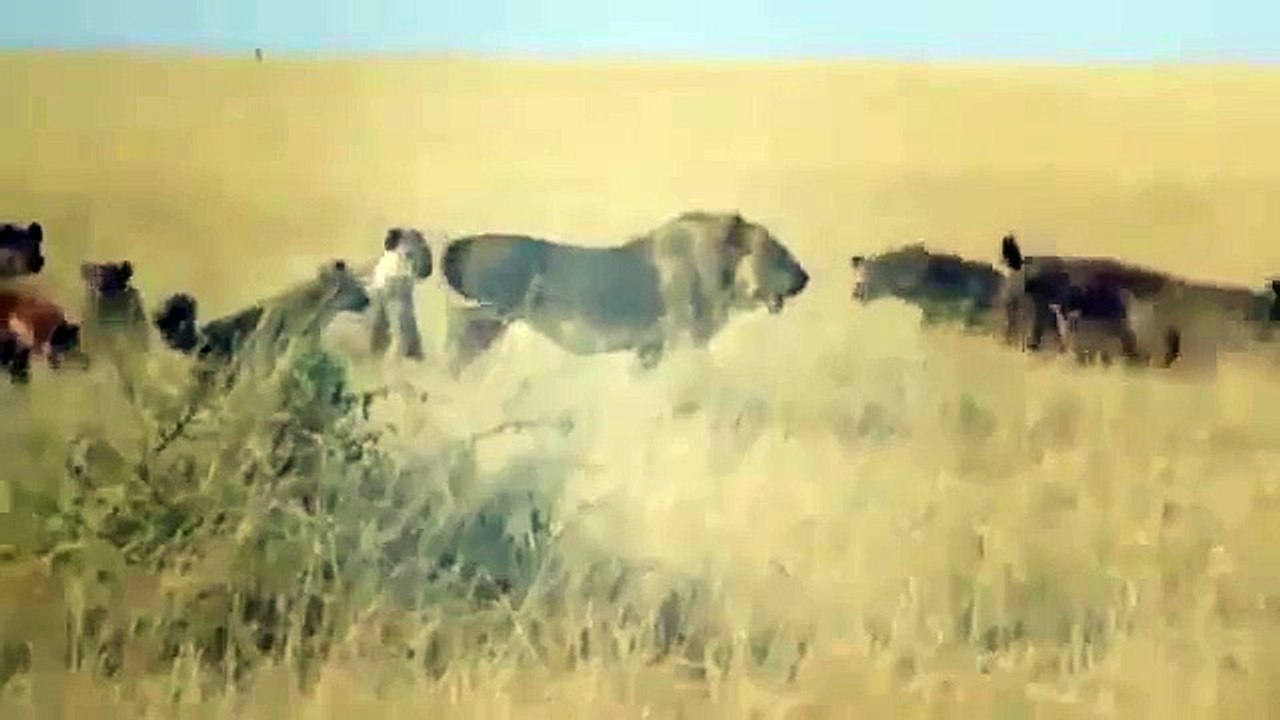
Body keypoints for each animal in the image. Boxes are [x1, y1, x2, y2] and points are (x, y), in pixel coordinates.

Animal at [439, 211, 810, 373]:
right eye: (777, 252)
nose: (804, 278)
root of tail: (459, 244)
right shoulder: (683, 339)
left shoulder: (652, 347)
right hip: (496, 313)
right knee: (459, 322)